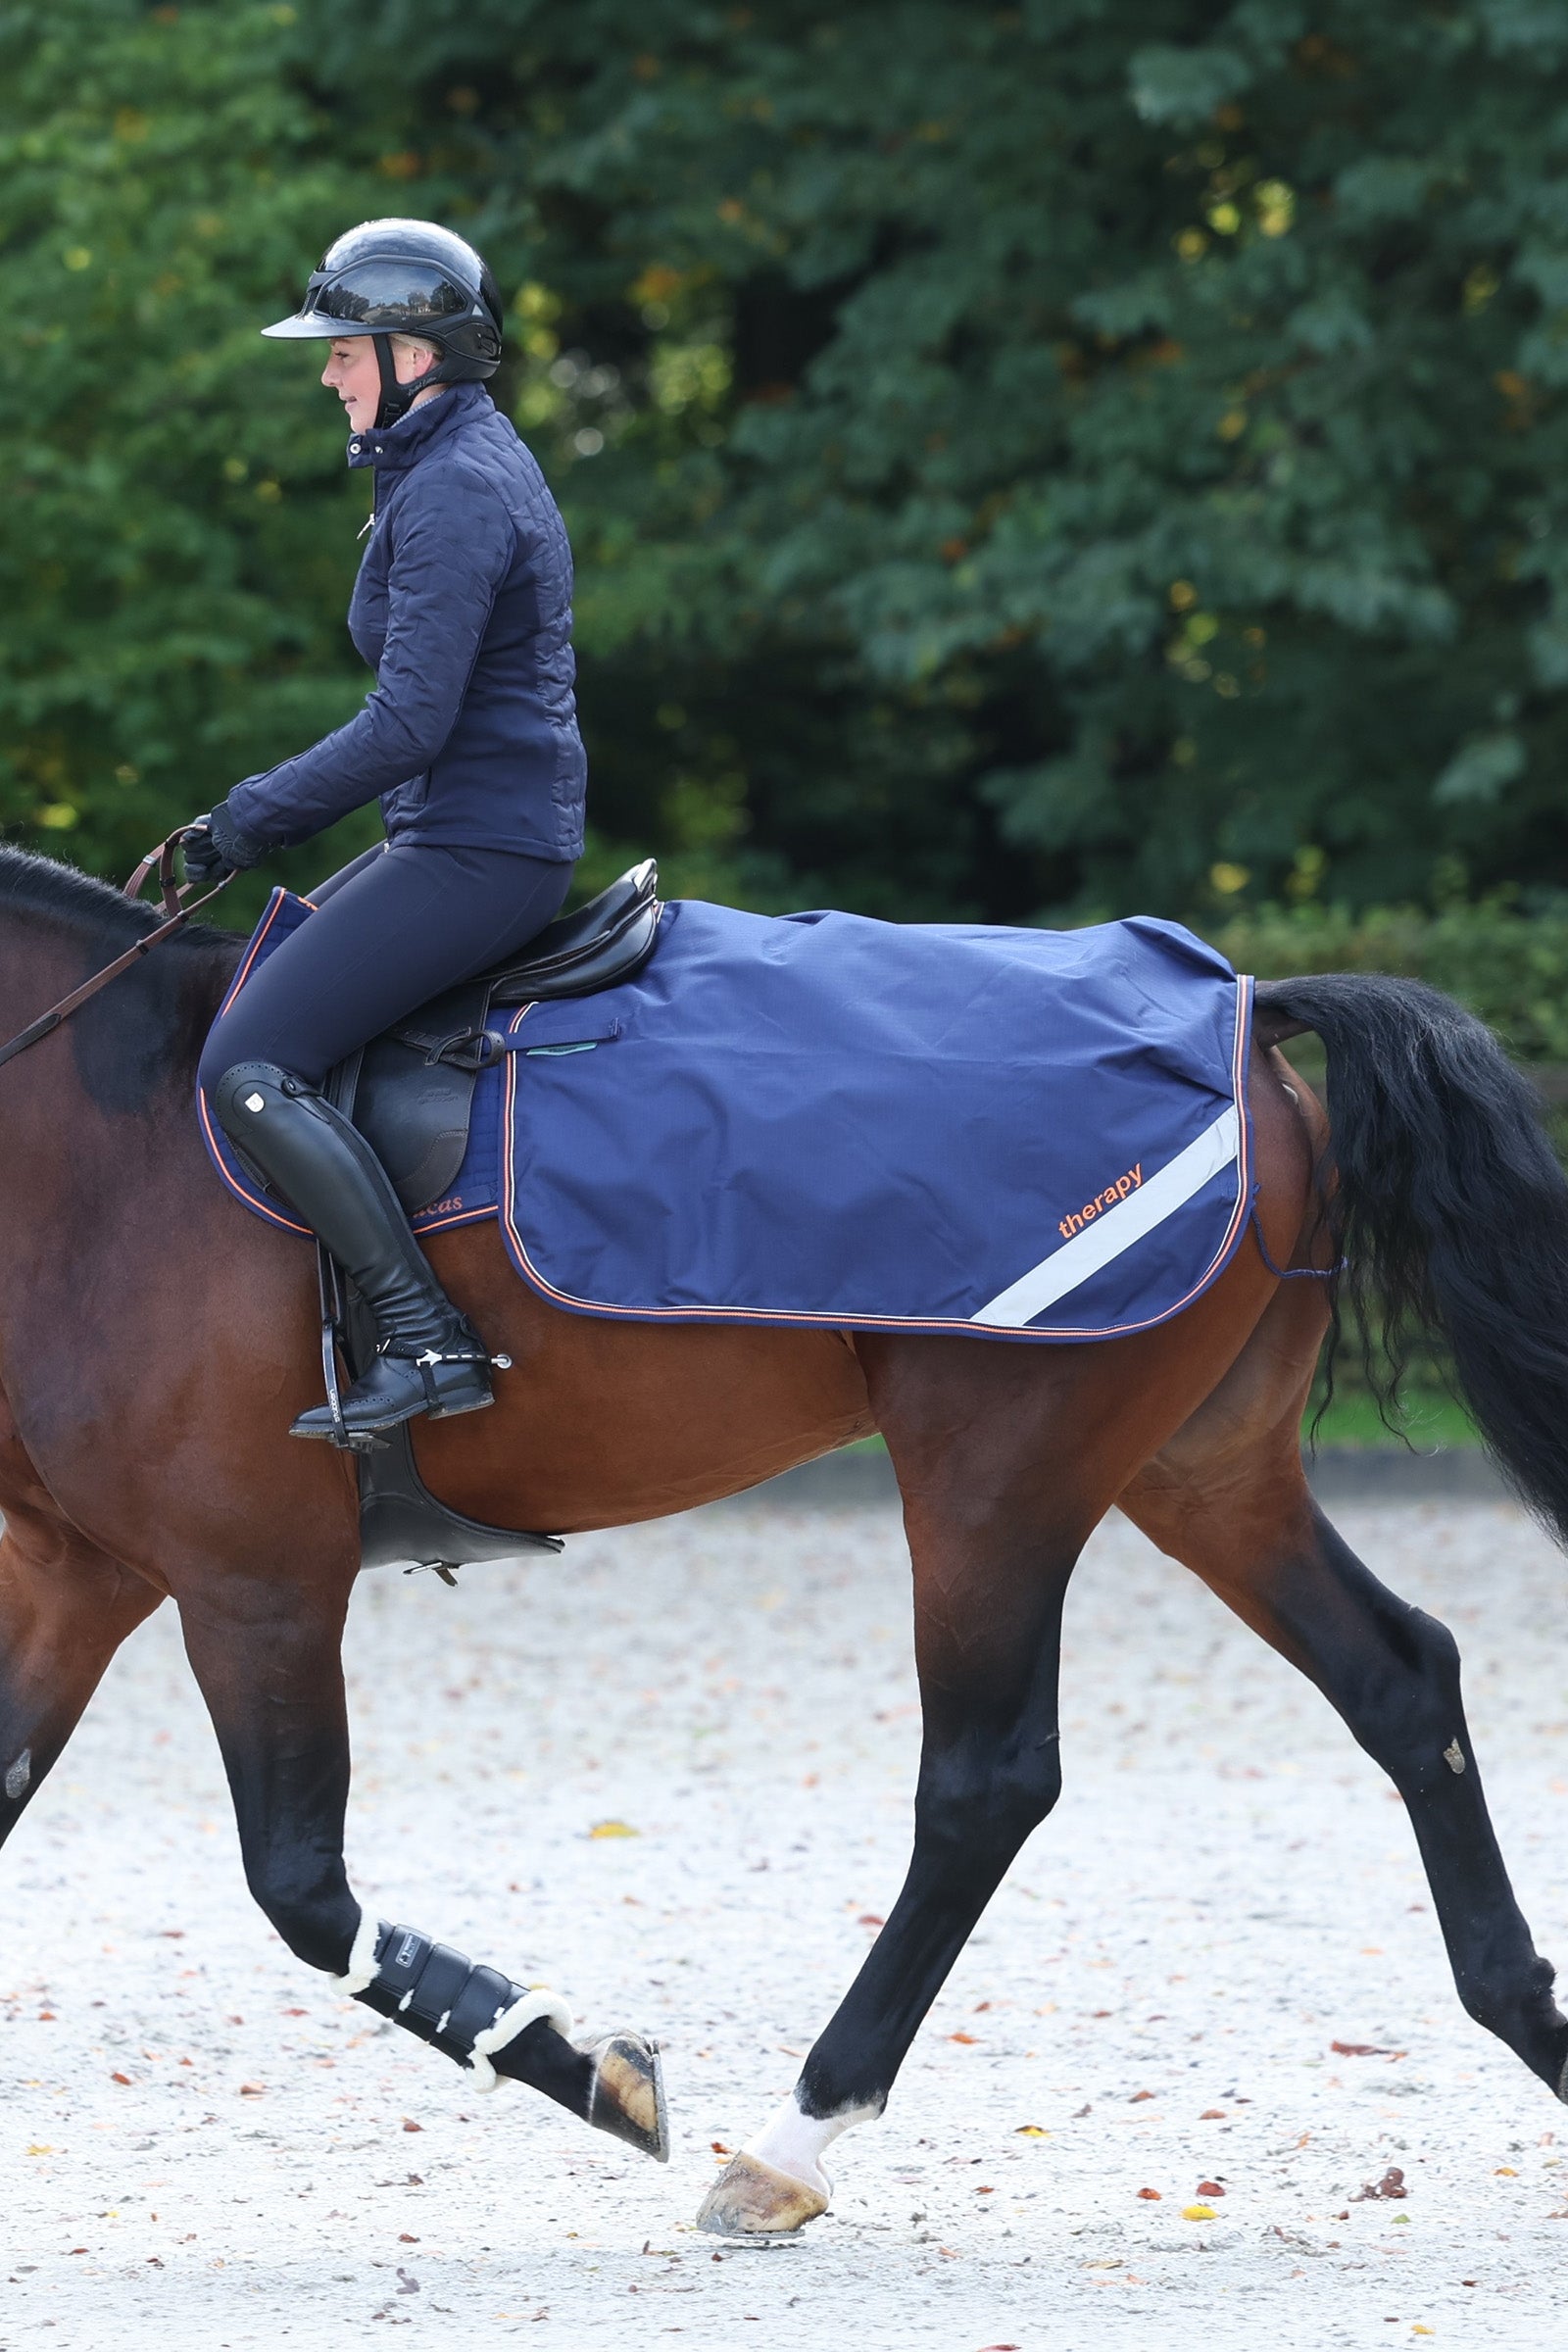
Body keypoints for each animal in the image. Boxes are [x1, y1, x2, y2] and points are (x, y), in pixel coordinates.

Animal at [0, 845, 1564, 2241]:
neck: (102, 1156)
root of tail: (1245, 1008)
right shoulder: (81, 1577)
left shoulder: (252, 1582)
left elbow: (300, 1890)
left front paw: (588, 2069)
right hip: (1202, 1470)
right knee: (1400, 1679)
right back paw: (1530, 2017)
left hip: (999, 1473)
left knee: (985, 1783)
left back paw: (792, 2144)